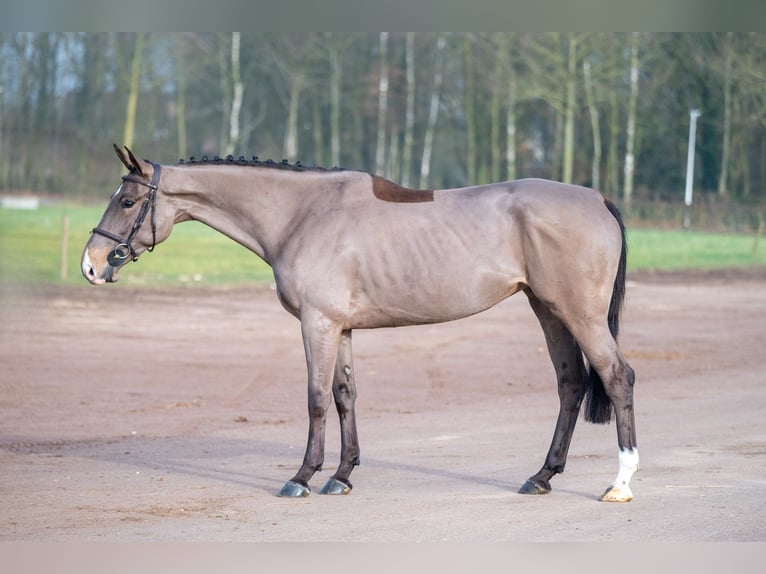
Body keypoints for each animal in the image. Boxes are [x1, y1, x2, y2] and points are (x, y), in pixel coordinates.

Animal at [81, 145, 640, 504]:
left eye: (127, 201)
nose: (91, 265)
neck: (302, 214)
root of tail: (597, 199)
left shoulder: (317, 323)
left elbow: (315, 398)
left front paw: (303, 477)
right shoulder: (341, 328)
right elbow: (345, 395)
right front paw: (342, 476)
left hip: (579, 314)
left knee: (617, 377)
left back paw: (620, 483)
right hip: (548, 311)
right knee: (570, 385)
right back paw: (542, 476)